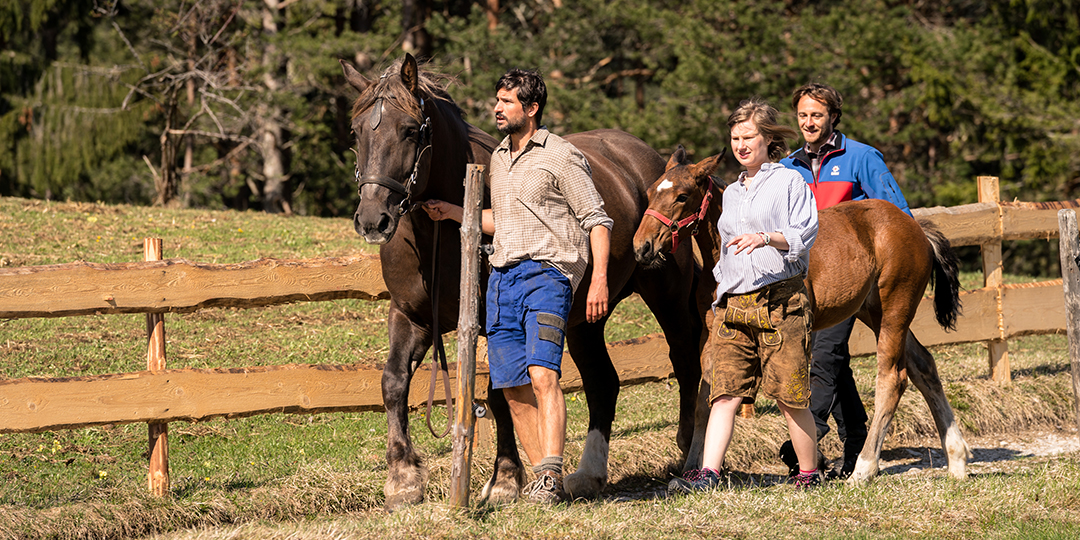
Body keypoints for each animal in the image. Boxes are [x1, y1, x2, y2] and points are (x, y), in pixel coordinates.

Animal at [341, 53, 704, 505]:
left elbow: (498, 396)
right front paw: (403, 479)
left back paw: (688, 455)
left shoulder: (492, 324)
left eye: (410, 130)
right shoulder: (411, 316)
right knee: (603, 382)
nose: (373, 220)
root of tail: (654, 163)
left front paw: (504, 480)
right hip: (585, 318)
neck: (441, 234)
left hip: (667, 297)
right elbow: (393, 383)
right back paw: (588, 475)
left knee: (686, 364)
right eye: (356, 132)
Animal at [630, 146, 976, 481]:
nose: (642, 247)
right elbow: (706, 400)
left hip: (895, 308)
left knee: (893, 378)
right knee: (924, 365)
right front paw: (690, 471)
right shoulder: (713, 331)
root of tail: (915, 227)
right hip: (874, 311)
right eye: (649, 192)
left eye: (682, 196)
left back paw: (864, 469)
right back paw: (956, 461)